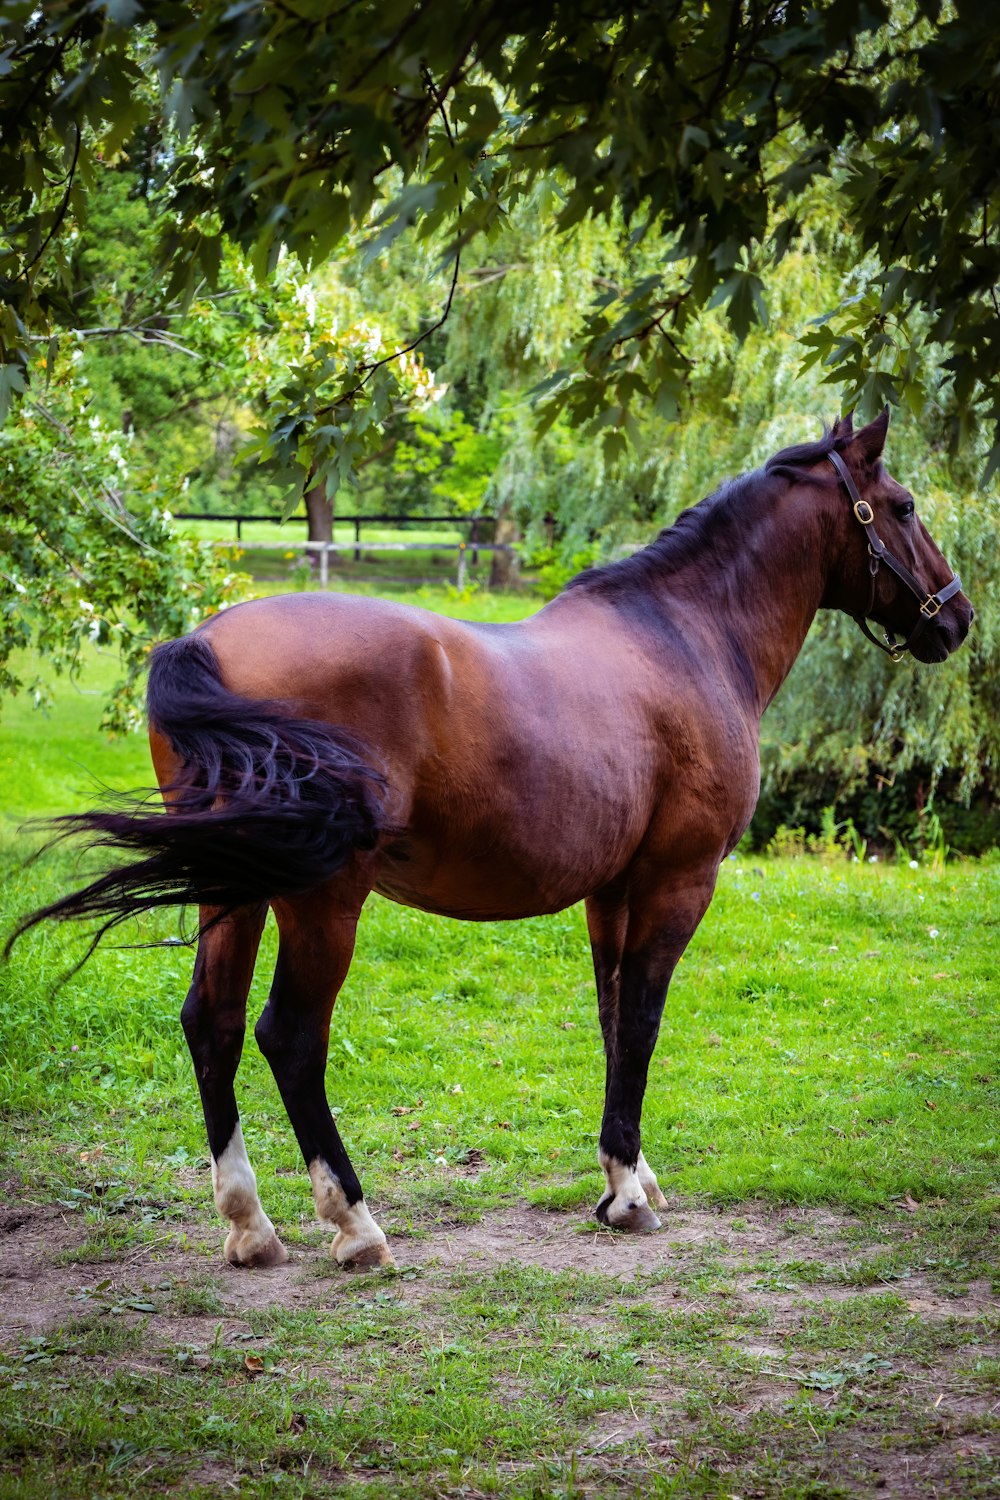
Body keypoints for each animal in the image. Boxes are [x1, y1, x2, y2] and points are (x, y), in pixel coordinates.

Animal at [13, 411, 971, 1266]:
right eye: (905, 505)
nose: (955, 619)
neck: (685, 636)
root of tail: (206, 637)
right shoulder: (677, 880)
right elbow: (643, 1022)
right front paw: (627, 1199)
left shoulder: (611, 890)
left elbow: (612, 1019)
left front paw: (629, 1175)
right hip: (323, 900)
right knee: (289, 1036)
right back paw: (355, 1225)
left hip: (236, 889)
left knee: (209, 1024)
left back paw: (251, 1228)